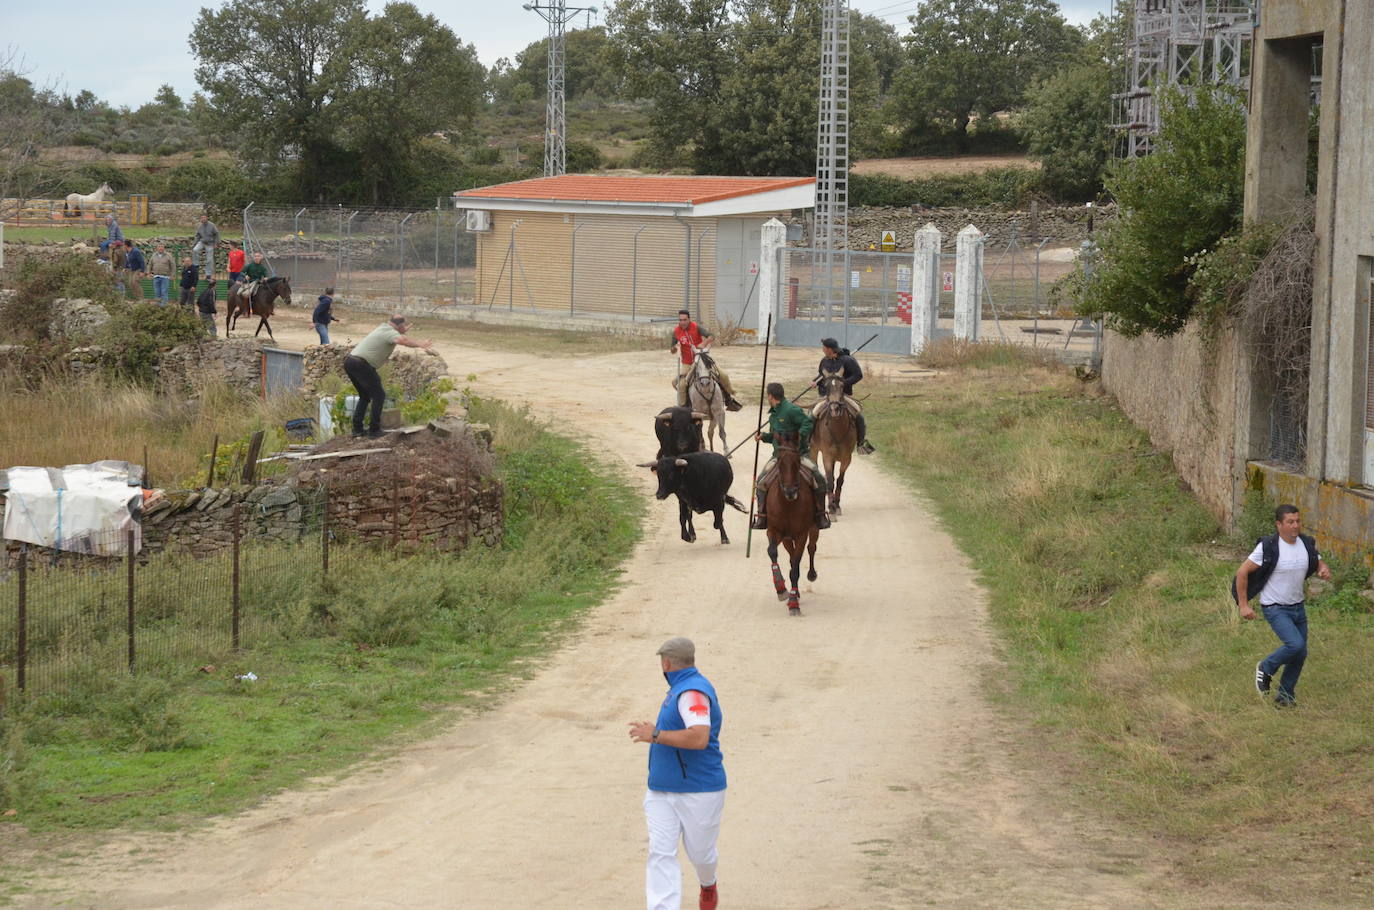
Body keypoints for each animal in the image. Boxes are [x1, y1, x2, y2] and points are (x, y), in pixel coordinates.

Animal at [769, 434, 818, 621]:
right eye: (779, 462)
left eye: (797, 461)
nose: (790, 491)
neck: (788, 505)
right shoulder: (774, 531)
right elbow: (772, 552)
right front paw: (781, 588)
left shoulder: (802, 534)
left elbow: (796, 566)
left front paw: (793, 604)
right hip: (786, 539)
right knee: (790, 556)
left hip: (813, 529)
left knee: (811, 548)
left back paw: (810, 575)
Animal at [807, 373, 851, 519]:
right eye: (826, 387)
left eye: (842, 386)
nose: (834, 409)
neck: (838, 430)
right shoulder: (827, 456)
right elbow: (830, 481)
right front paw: (831, 509)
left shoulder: (846, 459)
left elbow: (839, 480)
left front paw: (836, 506)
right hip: (814, 450)